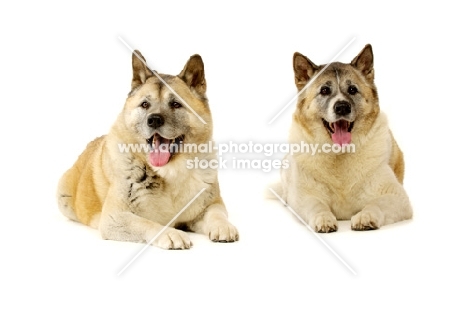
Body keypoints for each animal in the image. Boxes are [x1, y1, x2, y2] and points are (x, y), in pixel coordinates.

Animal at [58, 51, 239, 251]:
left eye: (176, 104)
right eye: (145, 105)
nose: (154, 120)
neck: (169, 173)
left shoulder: (211, 205)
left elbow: (217, 213)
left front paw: (223, 226)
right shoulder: (115, 218)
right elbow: (148, 223)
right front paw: (171, 233)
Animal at [280, 45, 412, 233]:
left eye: (352, 90)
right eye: (324, 90)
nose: (342, 107)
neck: (339, 155)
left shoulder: (397, 196)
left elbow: (376, 204)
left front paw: (366, 217)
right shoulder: (303, 196)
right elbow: (316, 206)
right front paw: (323, 219)